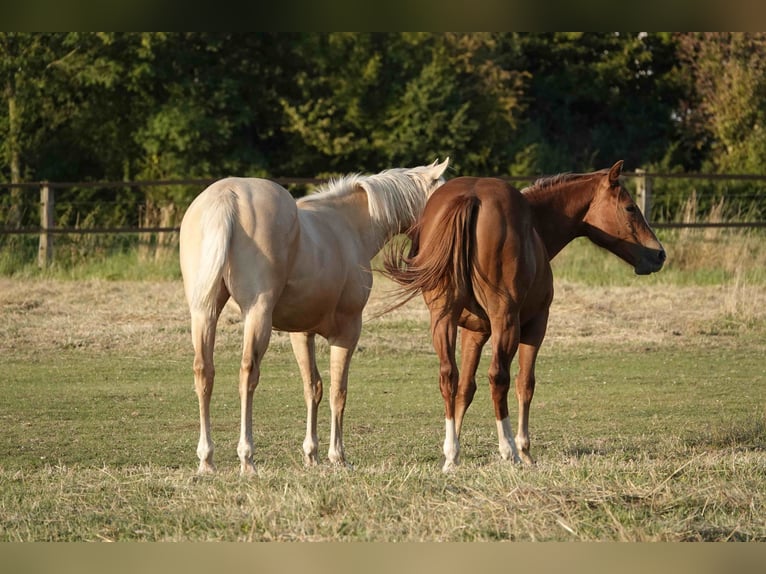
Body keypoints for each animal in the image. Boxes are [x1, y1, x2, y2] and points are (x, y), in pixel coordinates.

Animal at [179, 158, 449, 475]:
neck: (349, 227)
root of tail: (228, 196)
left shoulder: (301, 333)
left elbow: (313, 387)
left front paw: (312, 454)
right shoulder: (347, 331)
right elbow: (338, 392)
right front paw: (338, 456)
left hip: (204, 312)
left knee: (204, 371)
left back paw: (206, 459)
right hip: (257, 315)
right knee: (247, 374)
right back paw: (247, 457)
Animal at [383, 161, 665, 472]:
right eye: (630, 208)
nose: (659, 255)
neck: (536, 225)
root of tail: (471, 197)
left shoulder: (474, 332)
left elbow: (466, 387)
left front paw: (452, 455)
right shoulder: (535, 325)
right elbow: (524, 383)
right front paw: (525, 449)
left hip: (443, 318)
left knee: (448, 376)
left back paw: (453, 451)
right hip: (506, 321)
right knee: (499, 377)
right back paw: (509, 450)